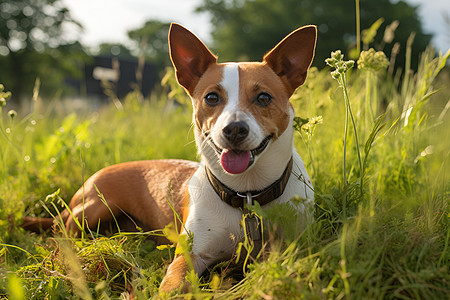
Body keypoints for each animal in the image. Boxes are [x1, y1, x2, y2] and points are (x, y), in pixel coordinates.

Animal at [21, 23, 316, 292]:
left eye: (264, 97)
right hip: (92, 209)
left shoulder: (293, 248)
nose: (233, 129)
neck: (246, 194)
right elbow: (172, 287)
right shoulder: (189, 256)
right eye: (211, 97)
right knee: (60, 234)